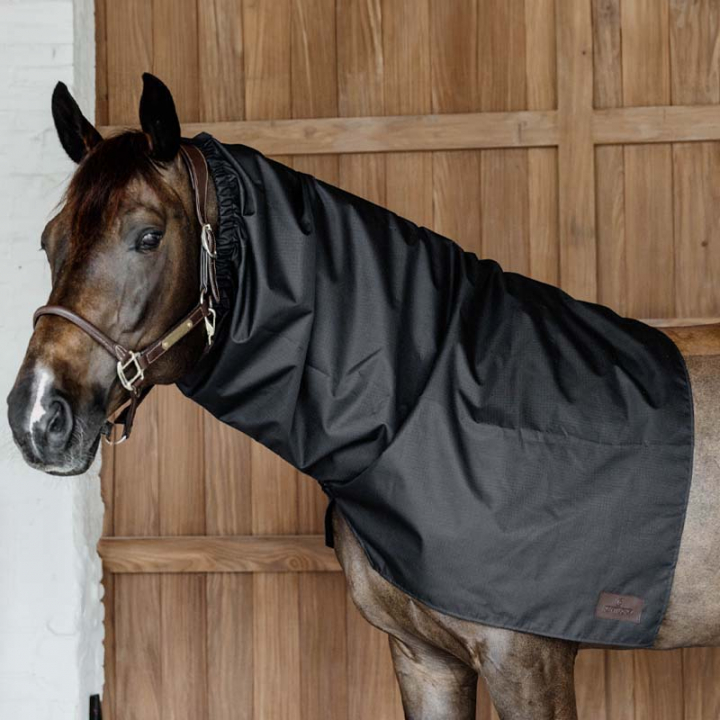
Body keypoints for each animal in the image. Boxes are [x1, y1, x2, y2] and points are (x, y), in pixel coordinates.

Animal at [7, 74, 720, 720]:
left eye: (148, 236)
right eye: (49, 240)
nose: (37, 415)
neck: (425, 396)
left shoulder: (527, 664)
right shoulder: (424, 660)